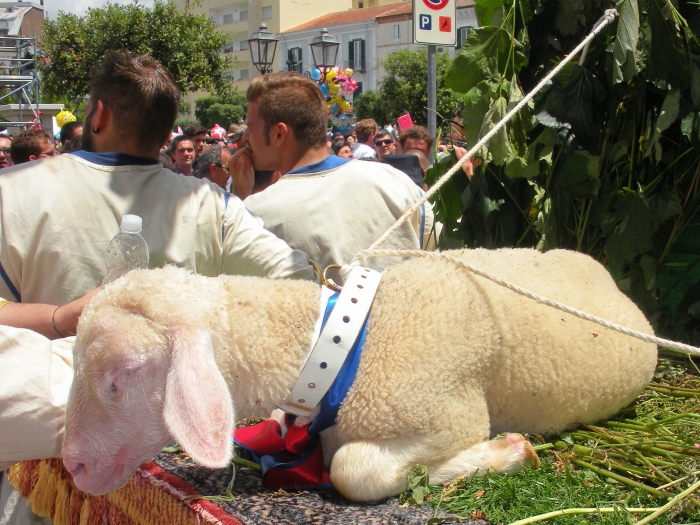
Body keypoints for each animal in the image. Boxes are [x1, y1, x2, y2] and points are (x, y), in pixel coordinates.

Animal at [61, 248, 656, 502]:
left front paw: (507, 453)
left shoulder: (449, 416)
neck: (339, 346)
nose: (73, 465)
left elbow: (351, 470)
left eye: (123, 373)